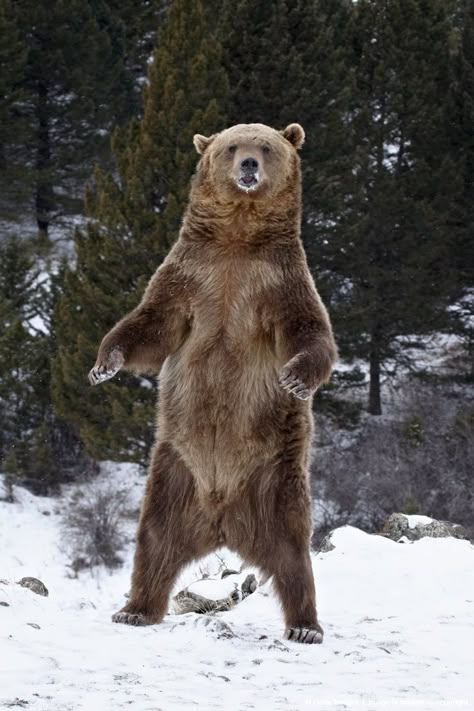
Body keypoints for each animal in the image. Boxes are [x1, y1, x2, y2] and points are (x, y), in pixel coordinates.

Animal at [89, 122, 338, 644]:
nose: (248, 165)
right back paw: (135, 609)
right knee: (154, 540)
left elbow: (308, 330)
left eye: (265, 146)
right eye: (231, 146)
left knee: (293, 553)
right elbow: (151, 325)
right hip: (174, 471)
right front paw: (104, 364)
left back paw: (305, 626)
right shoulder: (190, 276)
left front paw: (295, 378)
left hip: (276, 476)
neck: (237, 240)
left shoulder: (277, 284)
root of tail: (223, 520)